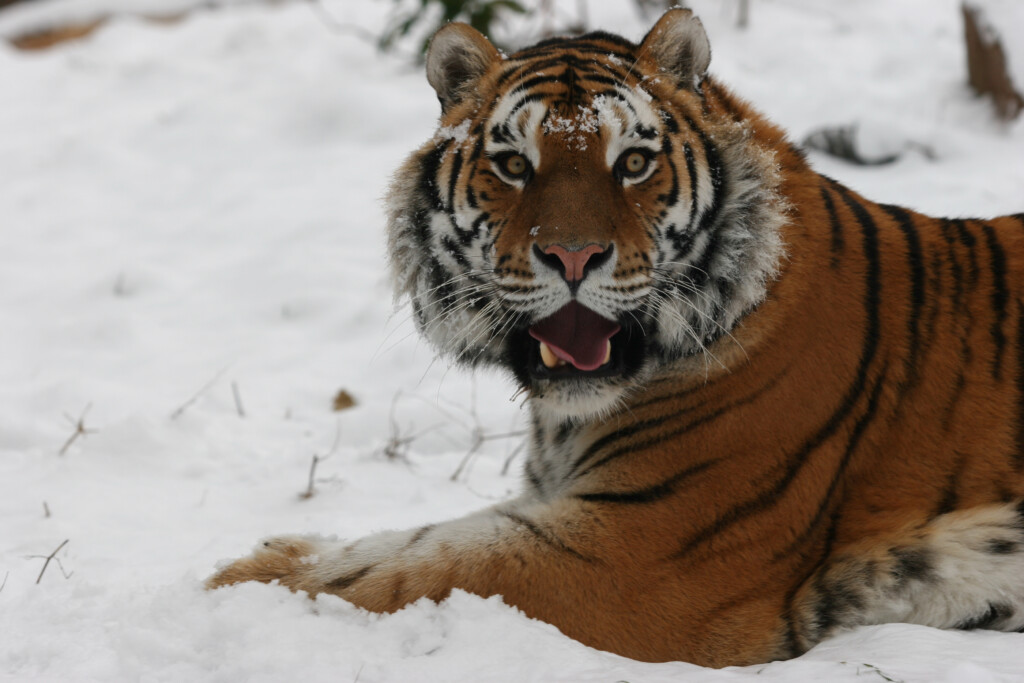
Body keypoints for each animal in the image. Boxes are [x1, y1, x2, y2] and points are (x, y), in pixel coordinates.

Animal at [207, 7, 1024, 663]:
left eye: (632, 162)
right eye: (513, 165)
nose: (573, 257)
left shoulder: (632, 553)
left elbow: (416, 567)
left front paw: (239, 577)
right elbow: (419, 543)